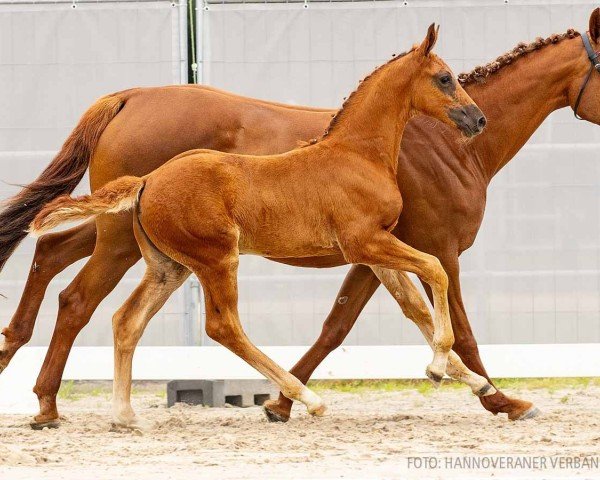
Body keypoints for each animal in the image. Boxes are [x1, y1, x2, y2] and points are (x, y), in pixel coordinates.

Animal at [30, 24, 486, 426]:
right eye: (445, 78)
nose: (477, 119)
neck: (357, 154)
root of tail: (146, 181)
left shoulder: (375, 249)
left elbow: (414, 306)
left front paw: (476, 382)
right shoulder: (365, 242)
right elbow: (436, 270)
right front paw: (440, 367)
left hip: (168, 267)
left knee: (127, 320)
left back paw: (124, 416)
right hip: (216, 259)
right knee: (222, 326)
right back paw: (308, 399)